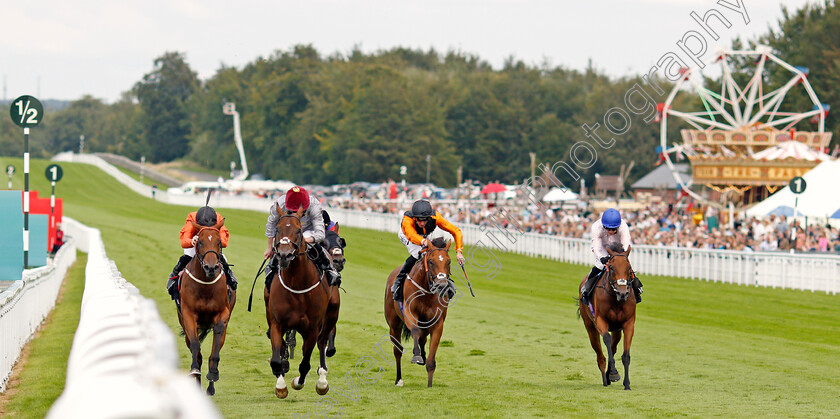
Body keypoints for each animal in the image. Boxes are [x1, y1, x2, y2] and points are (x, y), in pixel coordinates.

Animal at [176, 220, 236, 398]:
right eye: (200, 241)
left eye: (219, 242)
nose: (211, 267)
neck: (205, 286)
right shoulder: (188, 315)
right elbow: (196, 348)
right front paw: (194, 369)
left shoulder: (222, 313)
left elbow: (214, 350)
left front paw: (213, 373)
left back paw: (210, 387)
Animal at [268, 207, 336, 400]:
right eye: (277, 229)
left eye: (298, 231)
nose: (284, 255)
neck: (296, 284)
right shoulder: (277, 323)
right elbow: (276, 359)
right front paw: (281, 386)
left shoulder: (312, 328)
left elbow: (305, 364)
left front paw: (298, 382)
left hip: (331, 315)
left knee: (322, 342)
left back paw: (322, 380)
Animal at [384, 238, 456, 388]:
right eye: (431, 261)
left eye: (449, 262)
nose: (441, 285)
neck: (426, 291)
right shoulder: (410, 314)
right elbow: (415, 331)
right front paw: (416, 355)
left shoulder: (437, 323)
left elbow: (431, 358)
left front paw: (429, 384)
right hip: (394, 324)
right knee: (398, 350)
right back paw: (399, 379)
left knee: (423, 339)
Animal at [576, 244, 636, 392]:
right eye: (612, 267)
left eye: (629, 267)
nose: (622, 293)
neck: (616, 300)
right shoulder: (600, 320)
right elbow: (606, 340)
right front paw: (613, 373)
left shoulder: (628, 323)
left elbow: (625, 355)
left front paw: (627, 383)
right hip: (590, 326)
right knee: (600, 354)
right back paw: (605, 377)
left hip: (616, 330)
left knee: (613, 349)